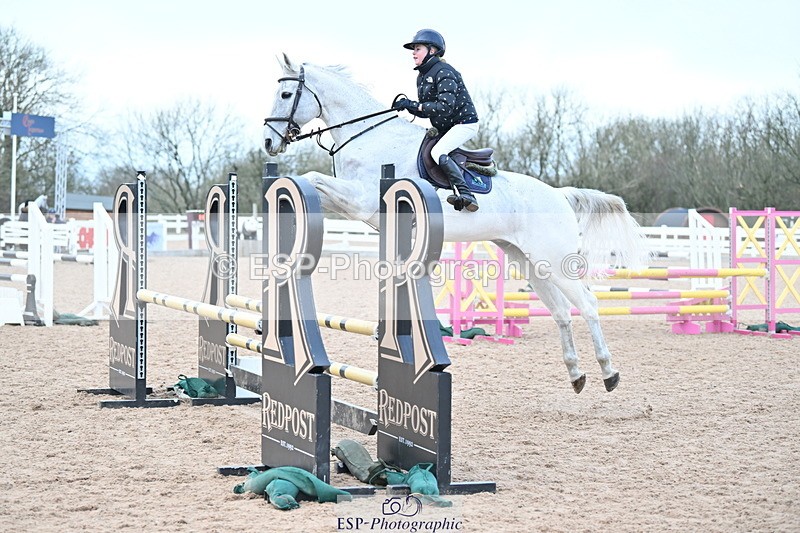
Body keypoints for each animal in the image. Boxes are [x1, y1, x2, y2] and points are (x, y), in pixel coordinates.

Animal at [262, 54, 650, 394]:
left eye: (285, 95)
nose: (268, 142)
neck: (367, 136)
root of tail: (560, 194)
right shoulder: (353, 203)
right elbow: (314, 186)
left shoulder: (362, 200)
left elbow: (312, 178)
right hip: (529, 261)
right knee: (561, 312)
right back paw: (576, 374)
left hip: (554, 260)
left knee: (588, 304)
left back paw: (608, 372)